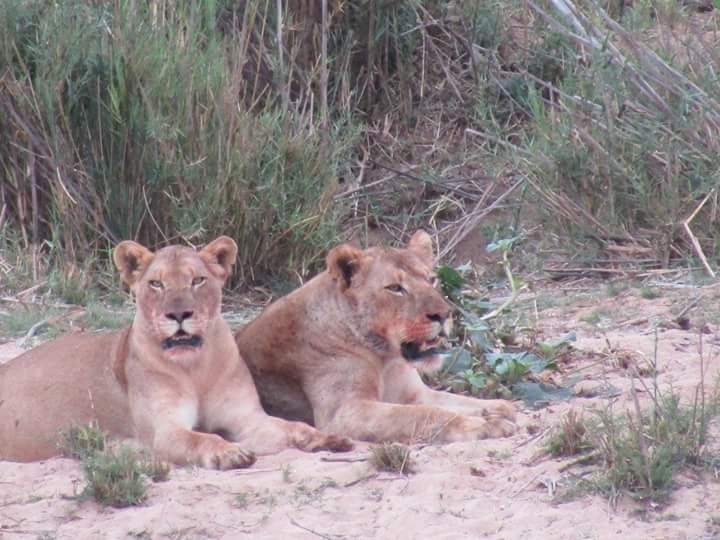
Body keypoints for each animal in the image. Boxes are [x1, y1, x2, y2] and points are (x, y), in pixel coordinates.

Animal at [0, 236, 351, 469]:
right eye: (156, 284)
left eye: (198, 280)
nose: (179, 314)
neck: (195, 368)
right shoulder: (164, 432)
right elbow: (201, 438)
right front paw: (229, 452)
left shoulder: (247, 418)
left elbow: (291, 427)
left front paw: (326, 439)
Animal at [235, 231, 517, 444]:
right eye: (395, 288)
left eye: (432, 279)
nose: (444, 314)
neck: (385, 357)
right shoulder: (346, 413)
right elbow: (425, 414)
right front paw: (482, 425)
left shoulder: (415, 394)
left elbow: (455, 401)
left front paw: (500, 408)